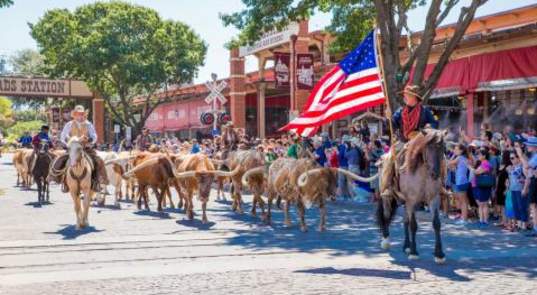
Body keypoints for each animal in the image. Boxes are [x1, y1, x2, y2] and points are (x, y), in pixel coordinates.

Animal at [376, 129, 448, 264]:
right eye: (428, 147)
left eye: (443, 148)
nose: (435, 173)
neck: (423, 174)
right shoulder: (412, 200)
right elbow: (413, 225)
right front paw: (414, 252)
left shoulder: (433, 199)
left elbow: (436, 224)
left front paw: (439, 254)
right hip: (387, 198)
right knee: (387, 216)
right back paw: (386, 241)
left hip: (406, 203)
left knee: (405, 221)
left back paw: (406, 246)